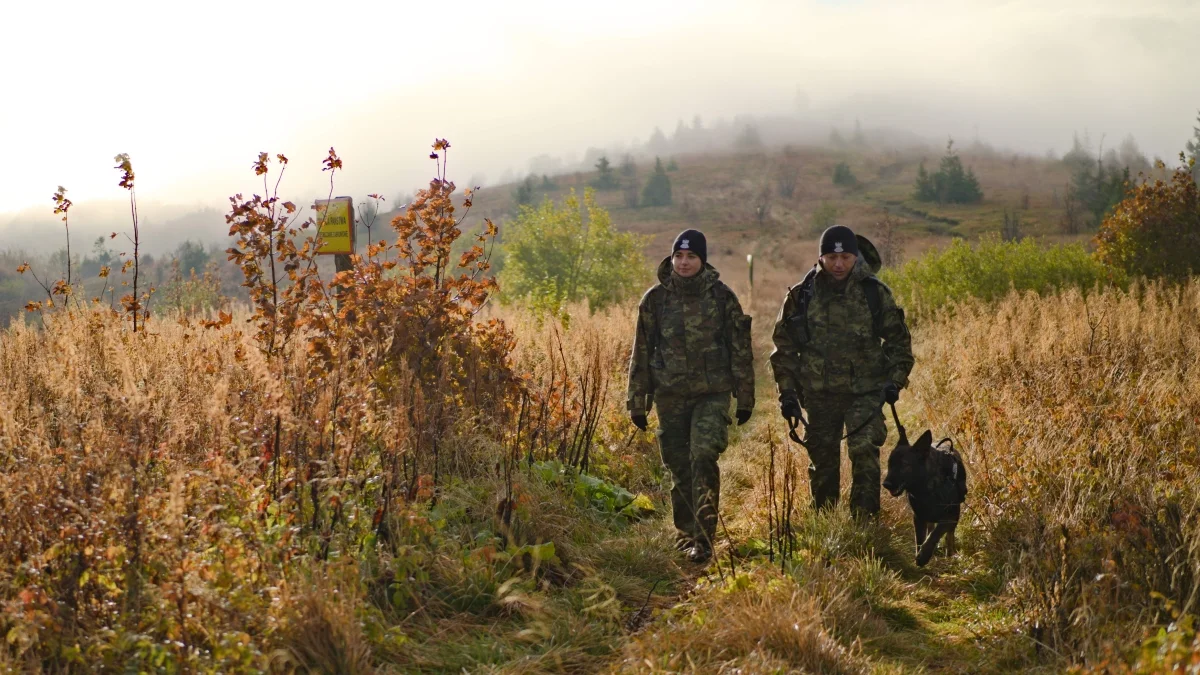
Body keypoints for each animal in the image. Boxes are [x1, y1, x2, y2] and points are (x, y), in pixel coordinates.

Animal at [883, 427, 964, 564]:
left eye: (905, 465)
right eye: (890, 464)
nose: (886, 484)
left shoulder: (951, 516)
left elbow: (936, 533)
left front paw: (924, 555)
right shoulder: (919, 517)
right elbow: (920, 538)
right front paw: (921, 553)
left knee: (949, 534)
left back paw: (949, 552)